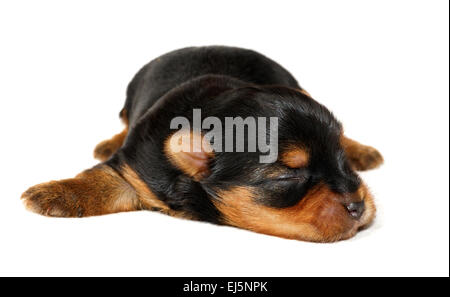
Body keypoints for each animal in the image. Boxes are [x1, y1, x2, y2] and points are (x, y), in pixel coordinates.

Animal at [22, 45, 384, 240]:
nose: (358, 205)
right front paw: (52, 193)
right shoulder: (139, 166)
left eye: (340, 159)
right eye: (286, 176)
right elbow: (101, 180)